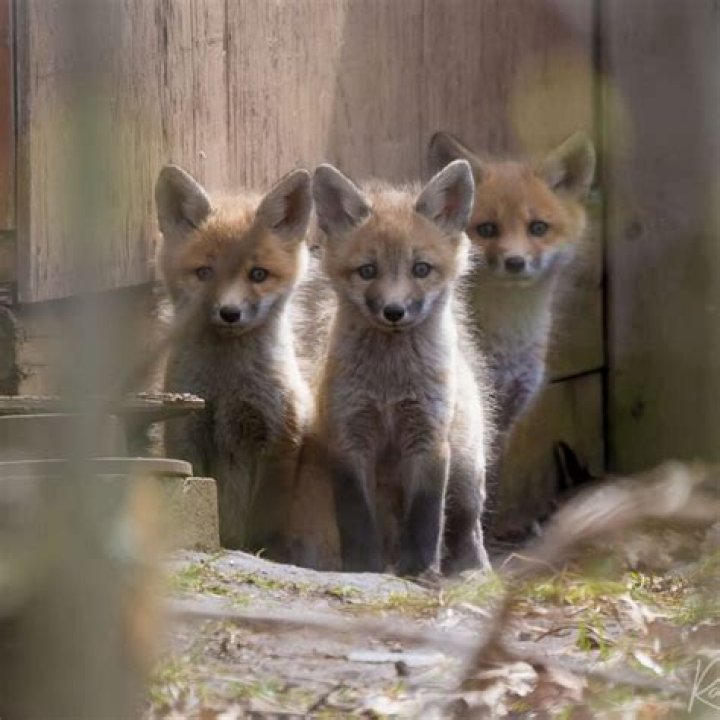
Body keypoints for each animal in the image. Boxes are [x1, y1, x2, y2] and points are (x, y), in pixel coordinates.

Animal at [155, 164, 313, 553]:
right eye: (205, 273)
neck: (227, 387)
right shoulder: (187, 434)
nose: (229, 313)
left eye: (258, 274)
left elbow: (261, 522)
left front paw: (257, 551)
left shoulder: (278, 437)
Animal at [295, 159, 491, 576]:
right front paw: (364, 569)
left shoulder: (428, 437)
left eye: (421, 269)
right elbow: (356, 520)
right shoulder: (349, 439)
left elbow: (426, 519)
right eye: (367, 271)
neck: (389, 385)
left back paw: (473, 572)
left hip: (466, 472)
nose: (394, 311)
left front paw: (420, 571)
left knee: (467, 527)